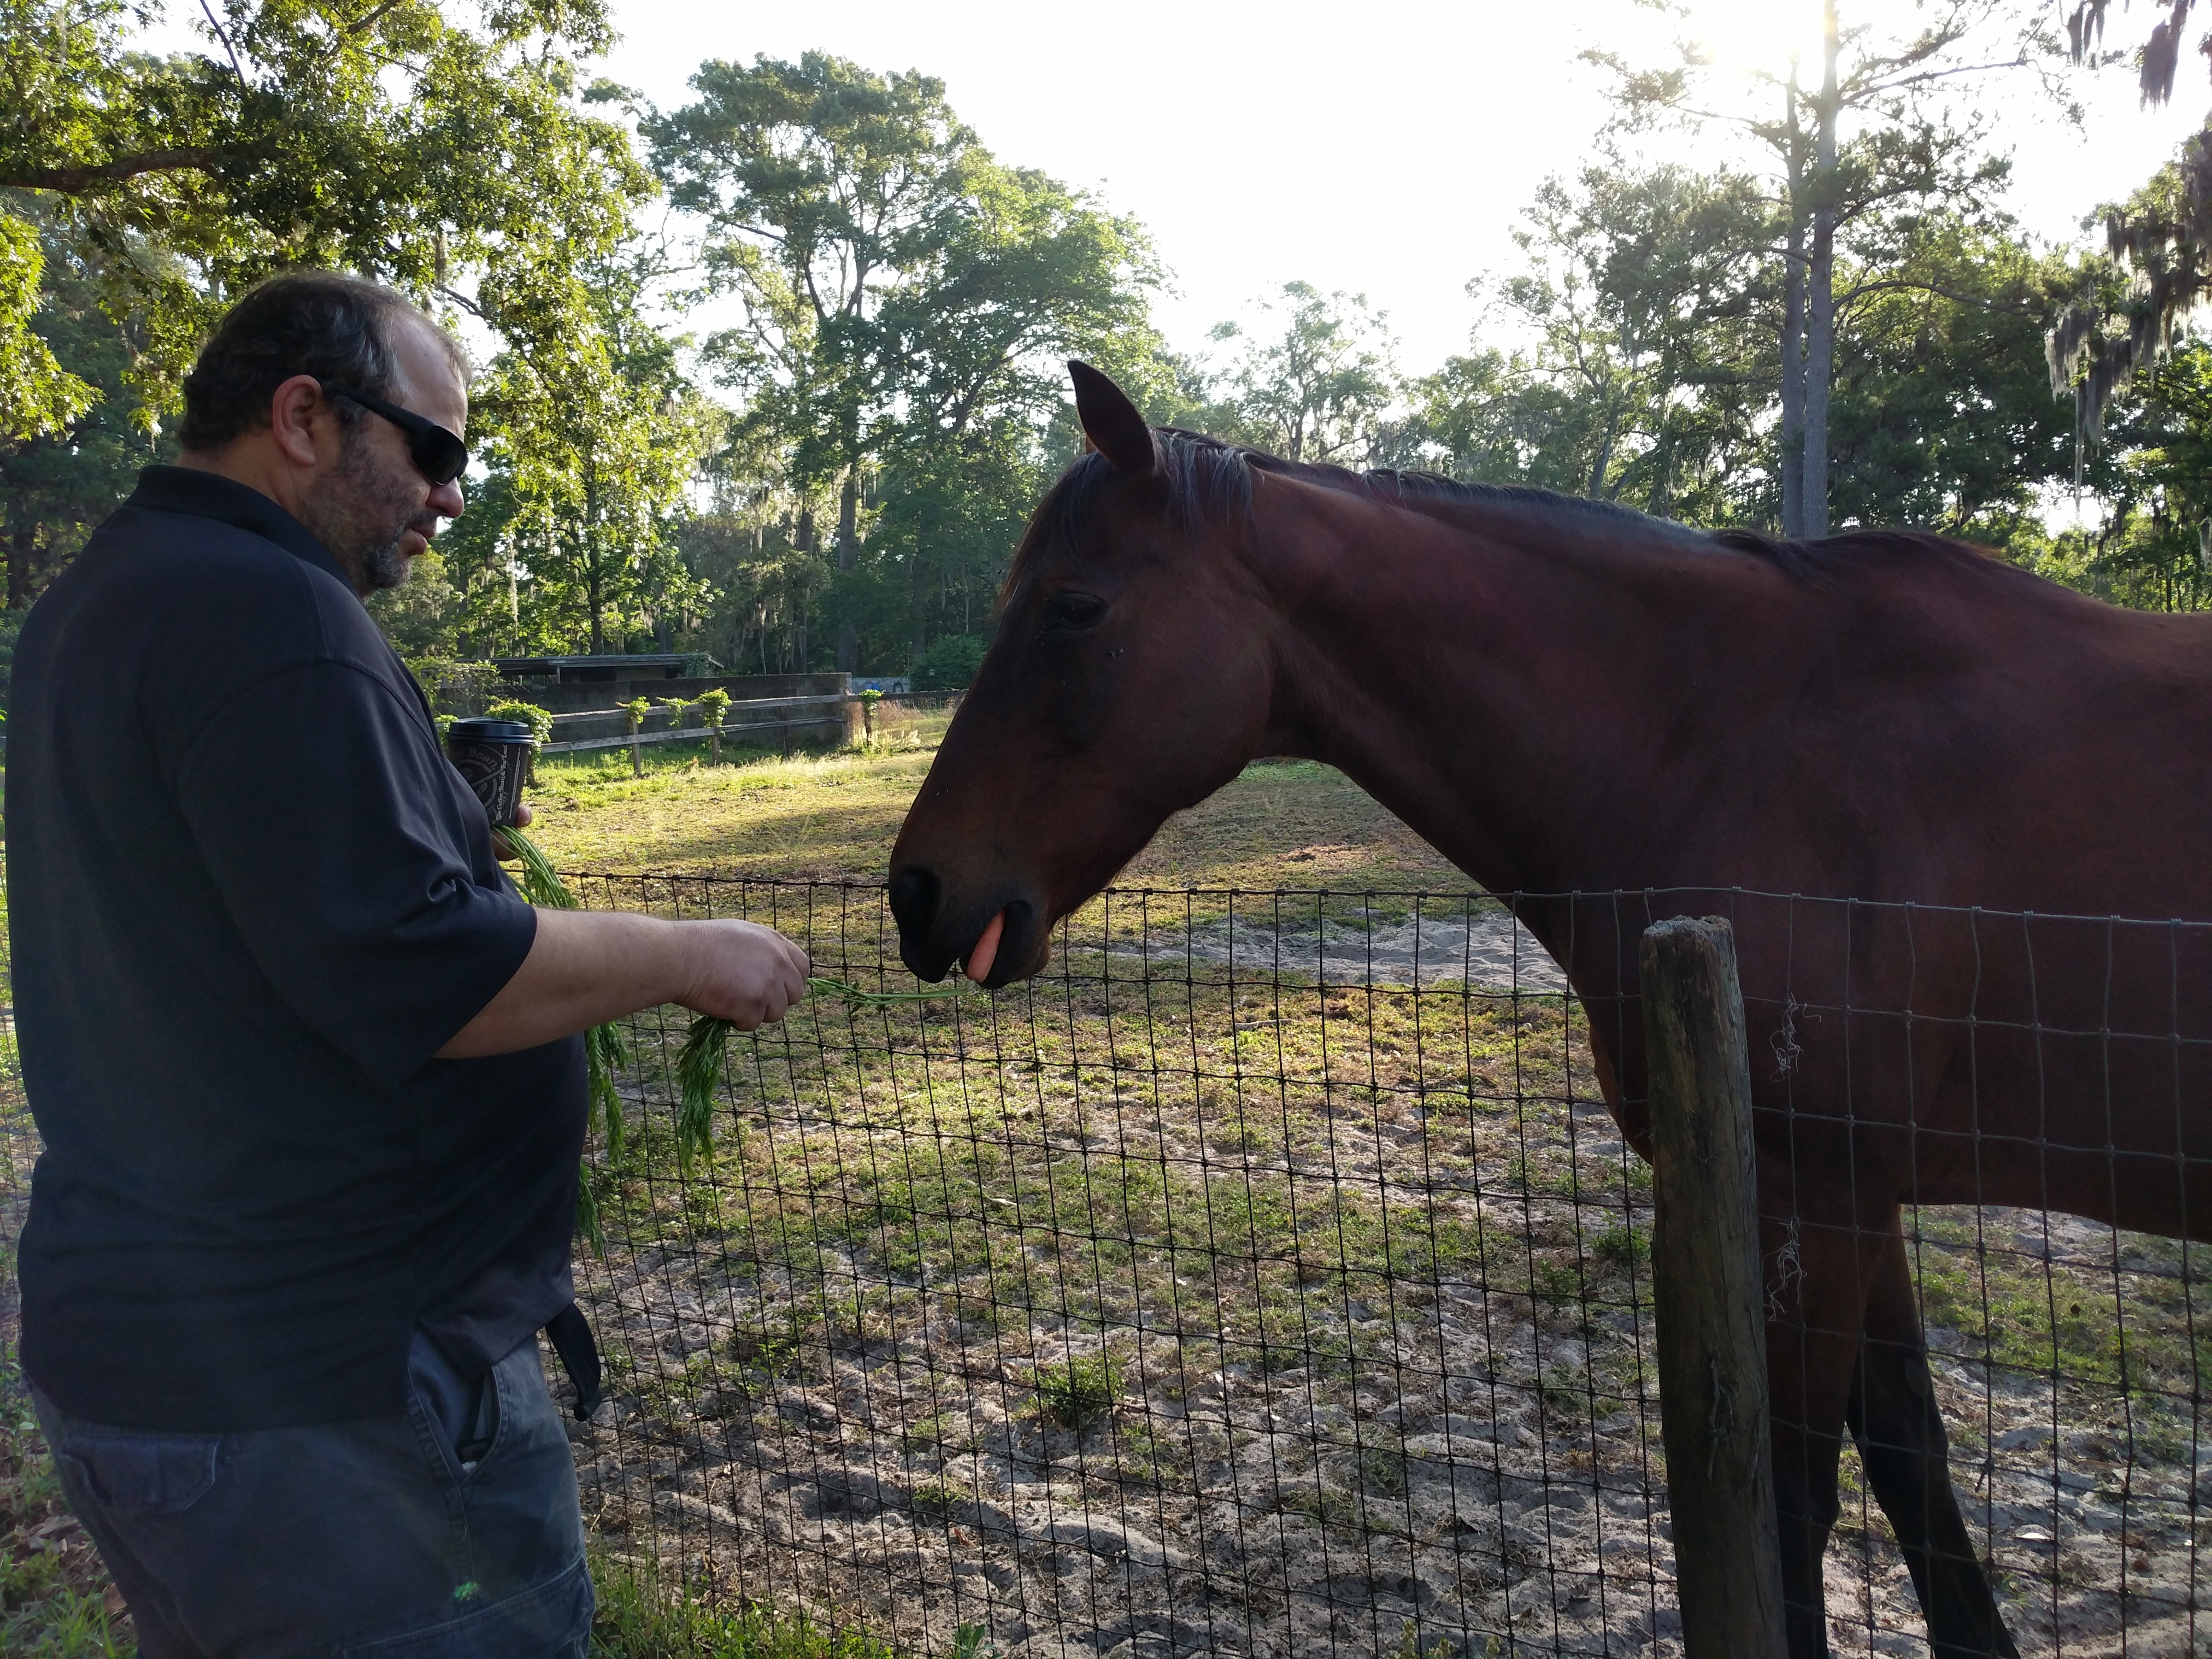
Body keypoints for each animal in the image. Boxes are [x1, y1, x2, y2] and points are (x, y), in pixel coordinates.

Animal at [880, 362, 2211, 1659]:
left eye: (1074, 607)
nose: (917, 890)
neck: (1738, 744)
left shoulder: (1814, 1197)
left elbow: (1793, 1504)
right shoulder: (1852, 1197)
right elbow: (1910, 1472)